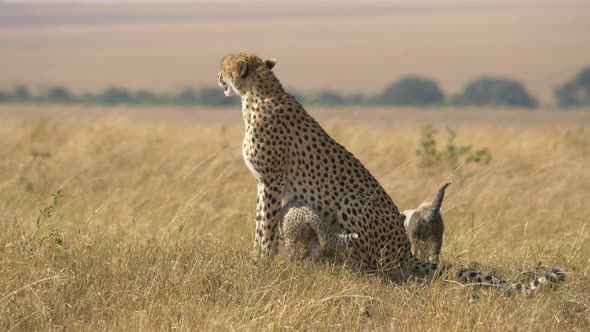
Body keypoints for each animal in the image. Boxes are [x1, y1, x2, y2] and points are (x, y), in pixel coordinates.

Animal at [217, 53, 568, 294]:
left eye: (225, 65)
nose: (218, 76)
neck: (259, 92)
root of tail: (405, 250)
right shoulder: (268, 184)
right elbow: (262, 223)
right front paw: (259, 257)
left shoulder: (271, 181)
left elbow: (264, 225)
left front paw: (261, 262)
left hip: (352, 200)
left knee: (373, 264)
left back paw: (351, 270)